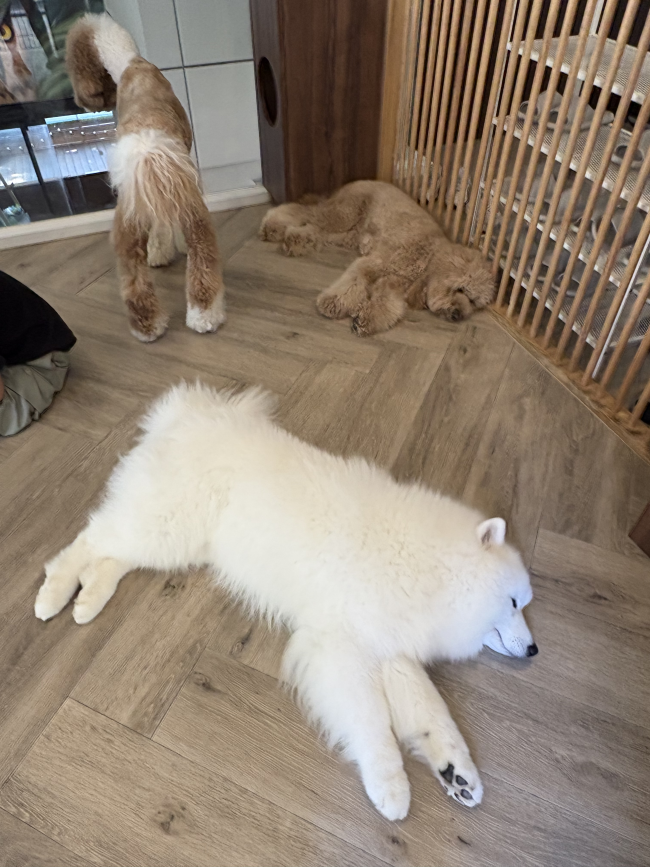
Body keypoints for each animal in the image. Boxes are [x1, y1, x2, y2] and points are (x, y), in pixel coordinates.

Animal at [35, 382, 537, 820]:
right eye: (514, 602)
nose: (534, 649)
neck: (426, 566)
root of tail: (185, 412)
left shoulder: (386, 648)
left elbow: (431, 711)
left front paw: (457, 772)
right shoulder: (343, 650)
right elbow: (372, 721)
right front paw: (391, 786)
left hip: (173, 541)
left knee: (111, 553)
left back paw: (89, 599)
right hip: (166, 526)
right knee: (89, 537)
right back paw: (54, 594)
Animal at [65, 14, 225, 342]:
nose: (81, 102)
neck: (129, 62)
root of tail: (147, 152)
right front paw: (164, 251)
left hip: (128, 235)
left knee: (134, 284)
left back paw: (147, 327)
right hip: (195, 217)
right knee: (202, 271)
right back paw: (204, 317)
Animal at [260, 180, 496, 335]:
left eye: (473, 302)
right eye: (461, 290)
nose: (458, 315)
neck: (426, 259)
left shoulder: (393, 282)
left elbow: (386, 304)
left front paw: (364, 320)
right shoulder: (373, 263)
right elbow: (352, 283)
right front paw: (333, 303)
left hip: (346, 234)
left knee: (315, 231)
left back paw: (293, 240)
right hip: (342, 215)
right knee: (303, 212)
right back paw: (272, 227)